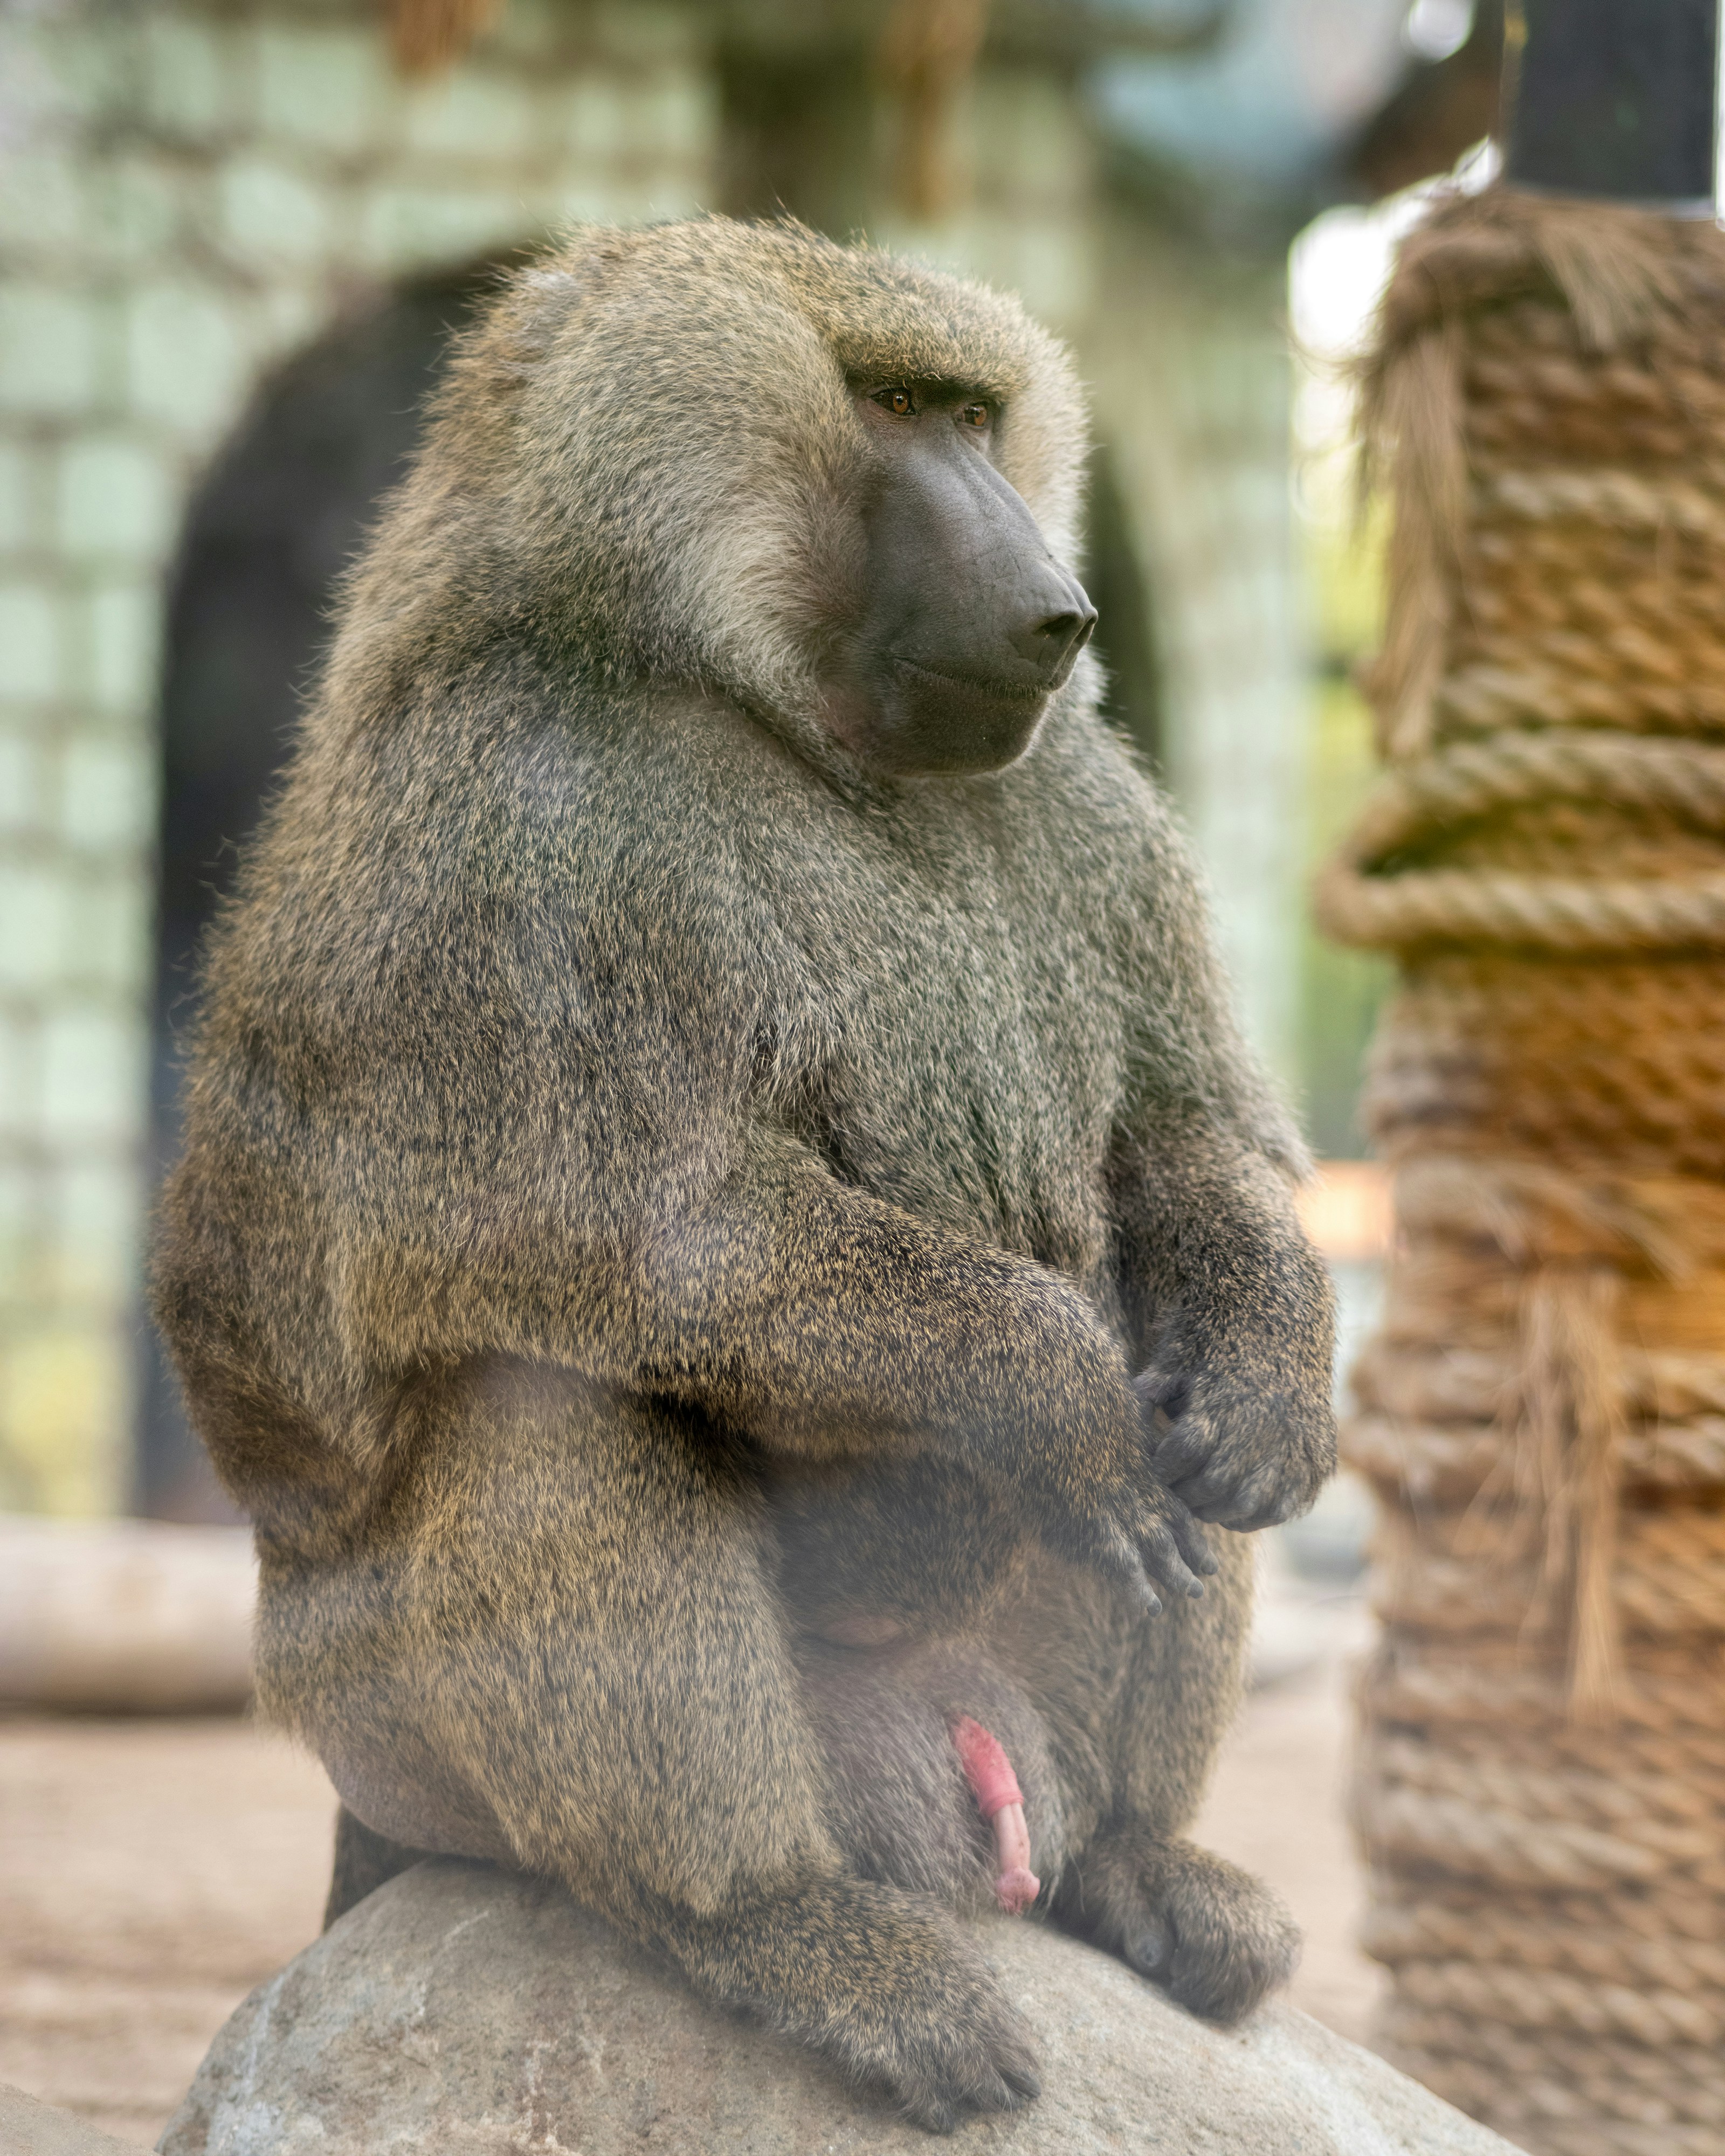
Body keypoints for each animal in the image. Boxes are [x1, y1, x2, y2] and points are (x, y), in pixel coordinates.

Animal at [152, 217, 1335, 2133]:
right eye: (892, 408)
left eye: (975, 415)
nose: (1059, 608)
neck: (790, 725)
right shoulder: (516, 811)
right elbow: (640, 1231)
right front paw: (1055, 1392)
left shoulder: (1085, 801)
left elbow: (1182, 1147)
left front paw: (1266, 1389)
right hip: (383, 1731)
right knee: (547, 1404)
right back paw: (777, 1926)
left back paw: (1139, 1867)